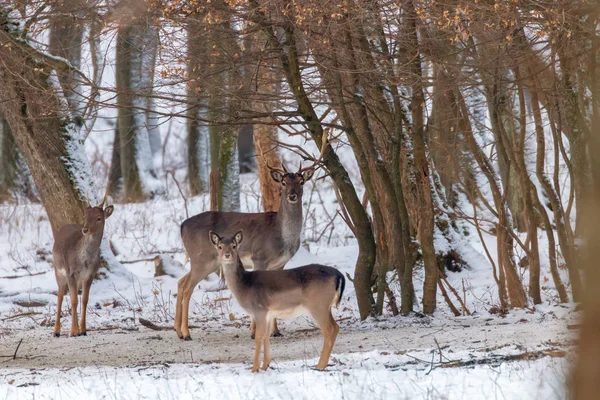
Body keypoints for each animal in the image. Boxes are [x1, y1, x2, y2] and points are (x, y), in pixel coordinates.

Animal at [51, 197, 113, 338]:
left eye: (99, 218)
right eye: (84, 215)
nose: (85, 229)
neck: (84, 261)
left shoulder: (90, 275)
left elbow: (84, 300)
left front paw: (83, 330)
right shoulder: (70, 272)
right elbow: (74, 300)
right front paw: (73, 331)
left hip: (77, 279)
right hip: (58, 270)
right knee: (60, 296)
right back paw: (56, 331)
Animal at [175, 136, 328, 340]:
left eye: (301, 181)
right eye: (283, 182)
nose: (292, 195)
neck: (281, 235)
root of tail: (182, 226)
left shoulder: (280, 263)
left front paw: (276, 331)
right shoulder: (259, 257)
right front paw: (255, 332)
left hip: (206, 261)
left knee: (180, 282)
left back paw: (177, 330)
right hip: (201, 257)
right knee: (187, 288)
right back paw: (186, 333)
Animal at [211, 230, 344, 374]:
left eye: (234, 245)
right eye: (219, 246)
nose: (227, 255)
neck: (244, 286)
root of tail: (339, 275)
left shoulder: (260, 310)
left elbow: (258, 337)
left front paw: (254, 368)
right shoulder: (269, 314)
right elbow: (266, 336)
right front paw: (265, 366)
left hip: (318, 305)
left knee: (330, 329)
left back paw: (320, 365)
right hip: (325, 306)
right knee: (335, 327)